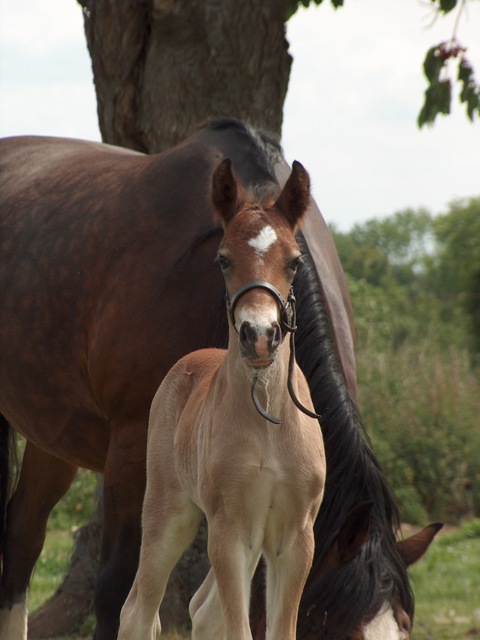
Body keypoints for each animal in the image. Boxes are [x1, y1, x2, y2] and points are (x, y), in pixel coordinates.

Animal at [117, 158, 326, 636]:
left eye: (295, 262)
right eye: (223, 259)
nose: (259, 335)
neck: (268, 419)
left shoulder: (295, 538)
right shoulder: (230, 530)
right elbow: (238, 629)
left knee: (202, 609)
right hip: (169, 512)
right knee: (139, 611)